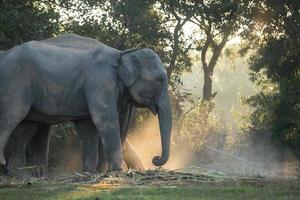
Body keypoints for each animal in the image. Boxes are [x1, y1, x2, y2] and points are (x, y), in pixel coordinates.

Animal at [0, 33, 172, 173]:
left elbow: (89, 126)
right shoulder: (99, 82)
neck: (121, 54)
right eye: (159, 80)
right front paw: (115, 172)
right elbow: (104, 119)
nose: (155, 159)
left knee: (24, 128)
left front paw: (91, 173)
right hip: (15, 81)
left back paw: (23, 176)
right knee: (12, 116)